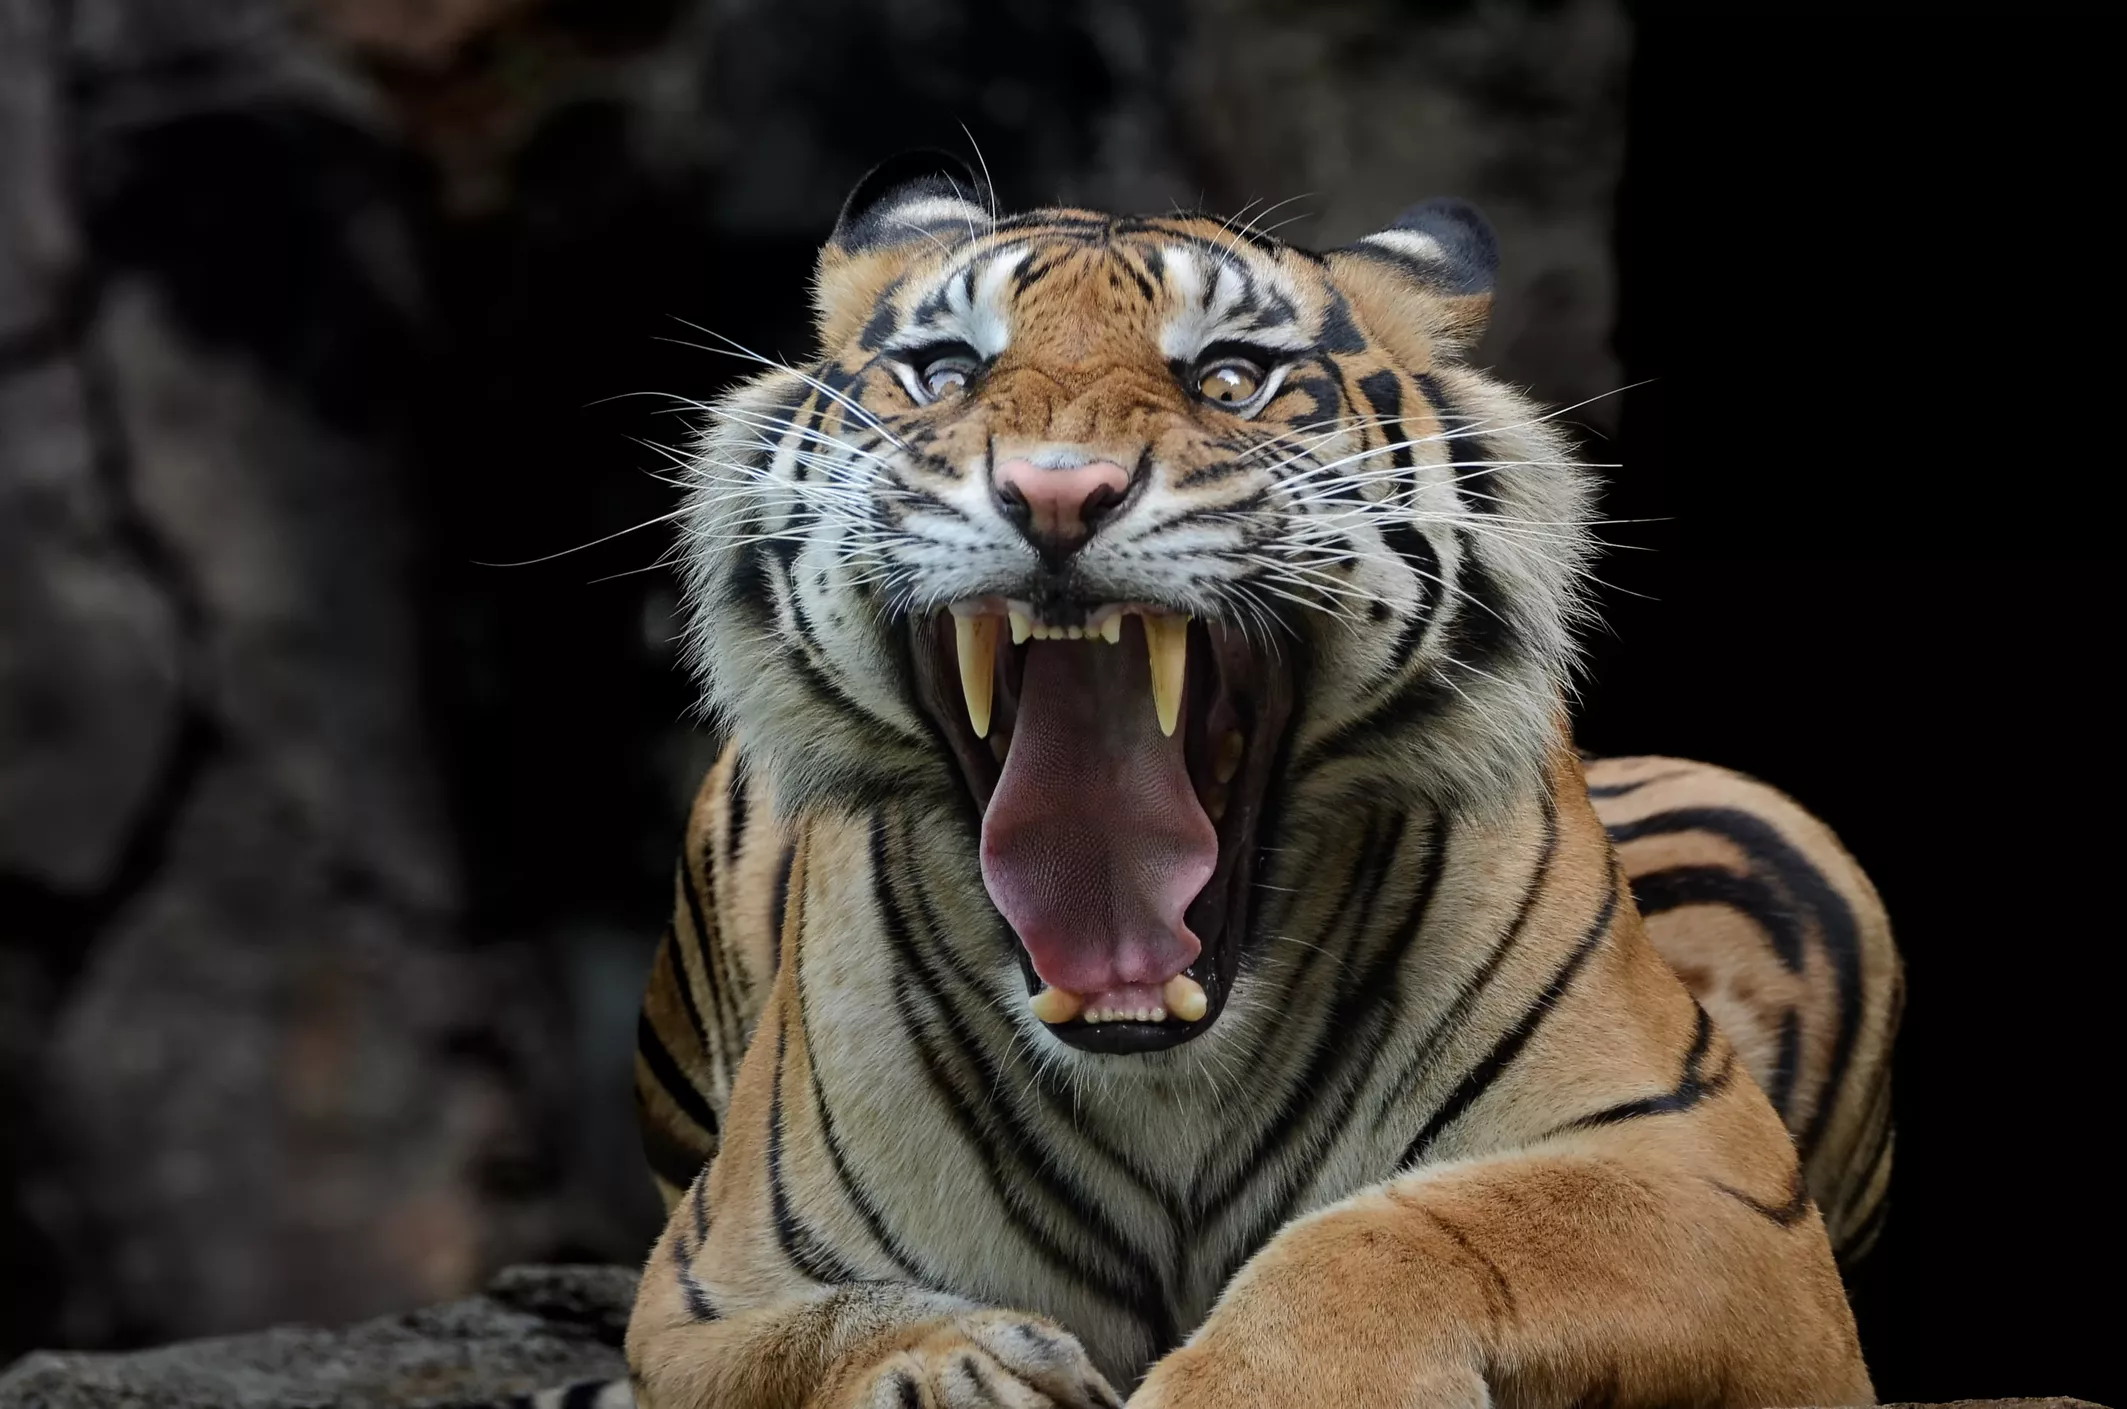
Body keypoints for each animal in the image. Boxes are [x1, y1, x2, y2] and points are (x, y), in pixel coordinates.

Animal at [620, 153, 1902, 1409]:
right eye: (945, 371)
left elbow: (1410, 1232)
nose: (1056, 492)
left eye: (1231, 379)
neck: (1155, 1069)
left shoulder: (1713, 1182)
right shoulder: (703, 1285)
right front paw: (956, 1367)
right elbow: (819, 1337)